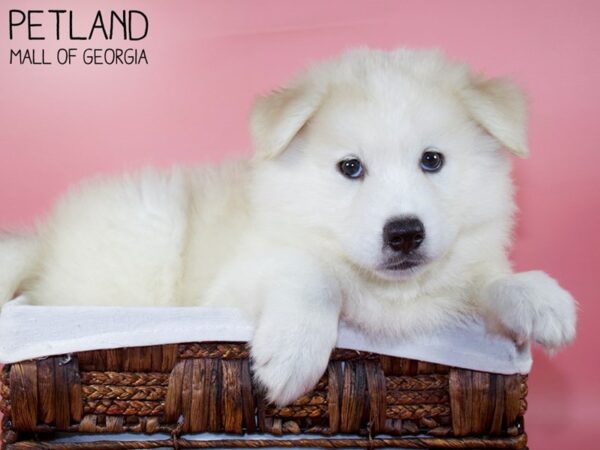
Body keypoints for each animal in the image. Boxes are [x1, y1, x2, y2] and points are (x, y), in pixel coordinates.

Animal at [0, 48, 576, 404]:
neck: (387, 290)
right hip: (145, 239)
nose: (404, 233)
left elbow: (488, 278)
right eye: (351, 168)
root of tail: (42, 243)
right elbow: (312, 277)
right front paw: (295, 352)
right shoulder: (237, 279)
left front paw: (538, 296)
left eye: (432, 161)